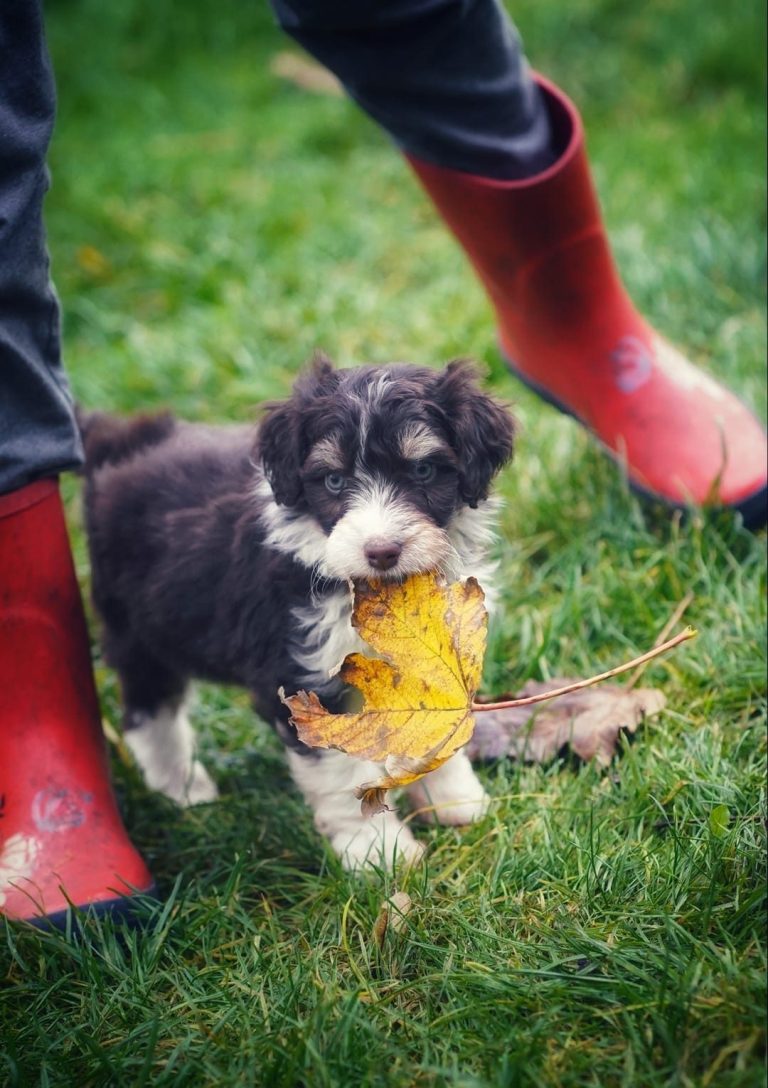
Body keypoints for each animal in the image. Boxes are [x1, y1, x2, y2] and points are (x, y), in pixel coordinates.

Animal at [79, 354, 515, 870]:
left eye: (425, 470)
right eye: (334, 480)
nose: (381, 551)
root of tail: (120, 444)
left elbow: (434, 727)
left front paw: (454, 800)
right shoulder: (306, 678)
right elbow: (343, 771)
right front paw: (379, 853)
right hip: (137, 626)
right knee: (148, 711)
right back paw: (183, 789)